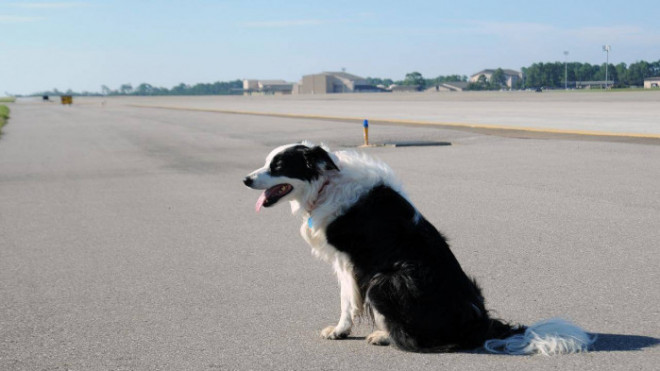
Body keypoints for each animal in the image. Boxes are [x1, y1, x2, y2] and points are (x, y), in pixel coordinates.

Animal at [242, 142, 592, 354]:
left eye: (278, 165)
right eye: (267, 162)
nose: (245, 180)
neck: (326, 182)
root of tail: (479, 322)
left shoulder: (349, 261)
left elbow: (347, 301)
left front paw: (340, 330)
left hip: (385, 280)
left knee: (417, 339)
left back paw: (384, 336)